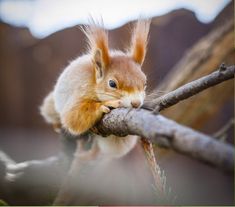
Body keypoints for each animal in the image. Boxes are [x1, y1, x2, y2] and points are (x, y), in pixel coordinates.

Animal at [40, 19, 151, 158]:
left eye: (145, 83)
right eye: (112, 84)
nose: (136, 103)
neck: (94, 82)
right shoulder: (81, 88)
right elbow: (72, 116)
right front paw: (105, 105)